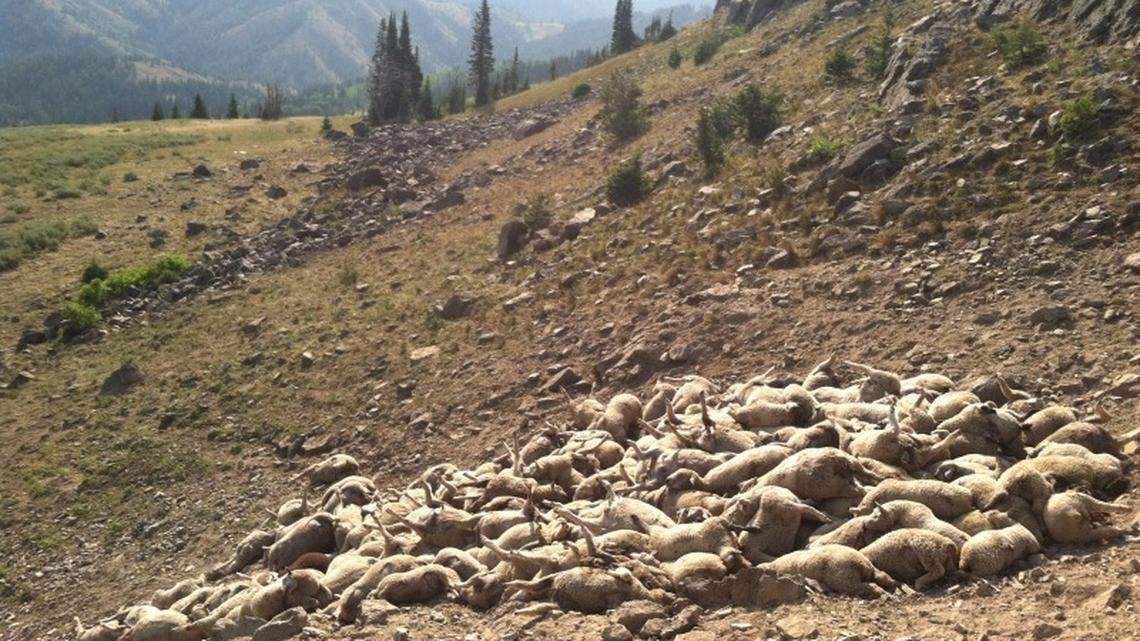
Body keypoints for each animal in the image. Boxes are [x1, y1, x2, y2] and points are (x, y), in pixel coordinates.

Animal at [760, 545, 897, 598]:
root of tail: (862, 563)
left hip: (841, 574)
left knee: (862, 586)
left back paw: (884, 592)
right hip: (865, 570)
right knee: (880, 576)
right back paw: (892, 586)